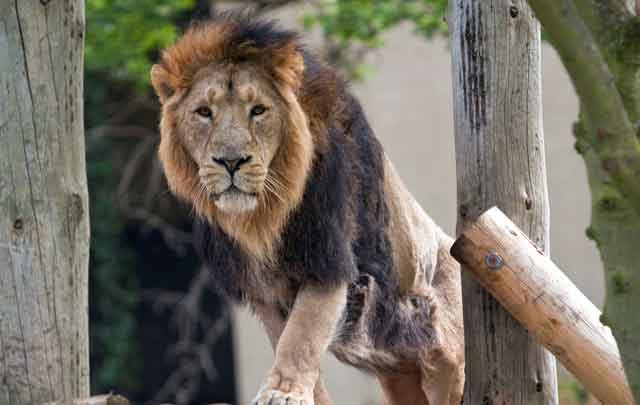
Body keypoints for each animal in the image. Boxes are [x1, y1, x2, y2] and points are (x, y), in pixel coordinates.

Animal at [151, 12, 464, 405]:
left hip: (444, 352)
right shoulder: (263, 289)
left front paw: (283, 392)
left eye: (258, 110)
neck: (262, 218)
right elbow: (285, 338)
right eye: (204, 113)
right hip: (399, 373)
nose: (231, 161)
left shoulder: (328, 259)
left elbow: (303, 332)